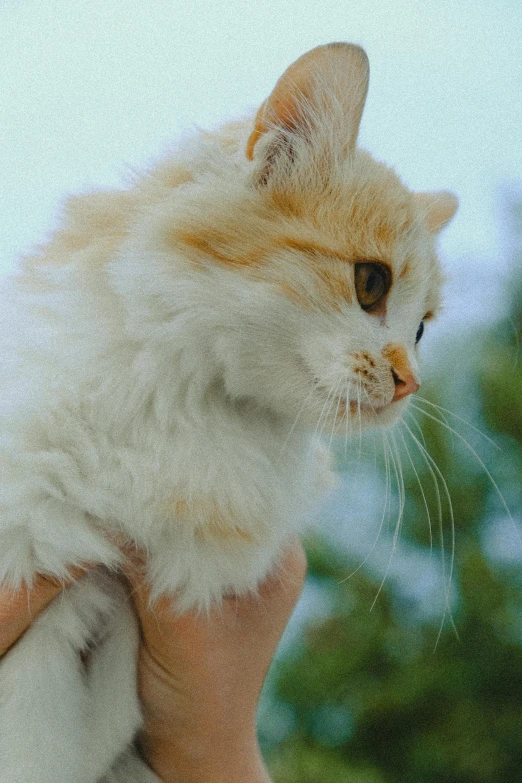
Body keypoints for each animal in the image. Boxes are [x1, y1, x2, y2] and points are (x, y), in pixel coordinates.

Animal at [0, 44, 456, 783]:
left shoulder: (131, 601)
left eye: (421, 331)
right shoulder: (39, 558)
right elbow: (35, 727)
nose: (409, 383)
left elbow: (85, 728)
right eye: (371, 283)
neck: (195, 406)